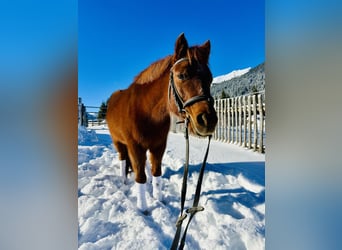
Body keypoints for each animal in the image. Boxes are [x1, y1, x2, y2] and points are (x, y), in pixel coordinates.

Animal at [107, 33, 216, 212]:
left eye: (210, 78)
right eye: (182, 75)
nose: (208, 120)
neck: (147, 113)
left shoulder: (158, 146)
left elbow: (156, 172)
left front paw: (158, 198)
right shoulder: (134, 147)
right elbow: (140, 176)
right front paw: (143, 208)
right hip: (118, 142)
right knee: (123, 160)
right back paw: (124, 181)